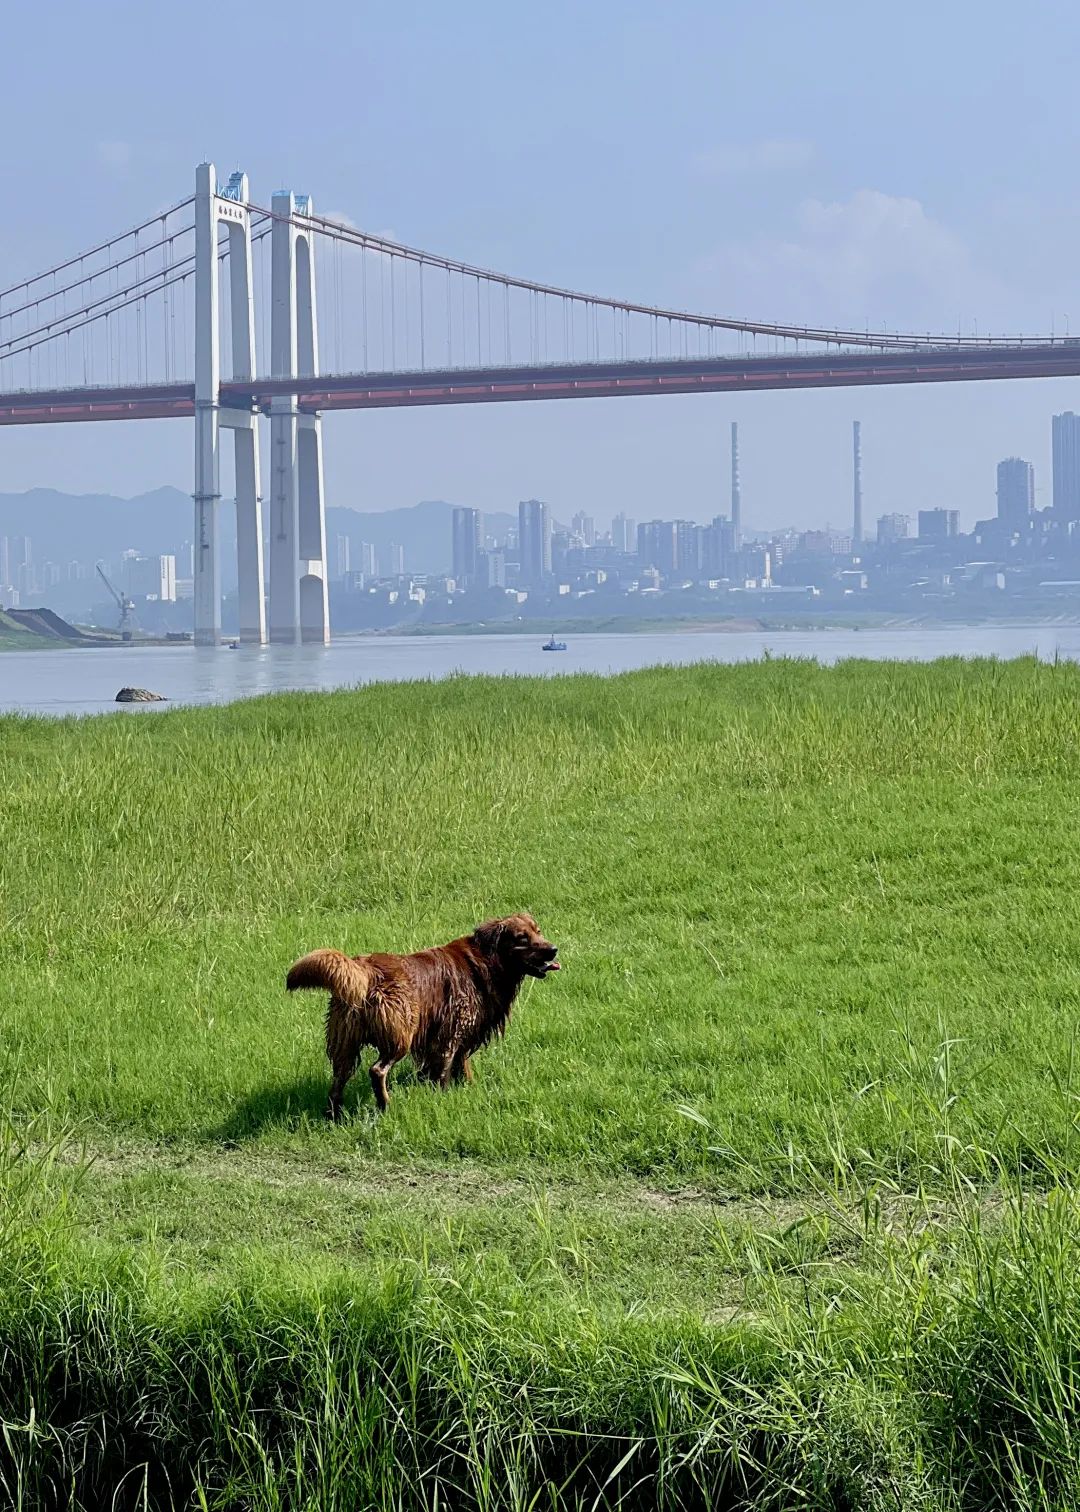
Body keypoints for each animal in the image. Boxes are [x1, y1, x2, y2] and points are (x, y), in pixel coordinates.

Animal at [285, 913, 559, 1118]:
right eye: (522, 938)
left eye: (538, 931)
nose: (554, 950)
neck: (485, 960)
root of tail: (365, 970)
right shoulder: (450, 1034)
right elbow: (445, 1071)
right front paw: (444, 1098)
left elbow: (462, 1066)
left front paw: (469, 1088)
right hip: (400, 1036)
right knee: (377, 1070)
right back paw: (385, 1105)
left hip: (345, 1042)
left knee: (337, 1081)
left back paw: (335, 1115)